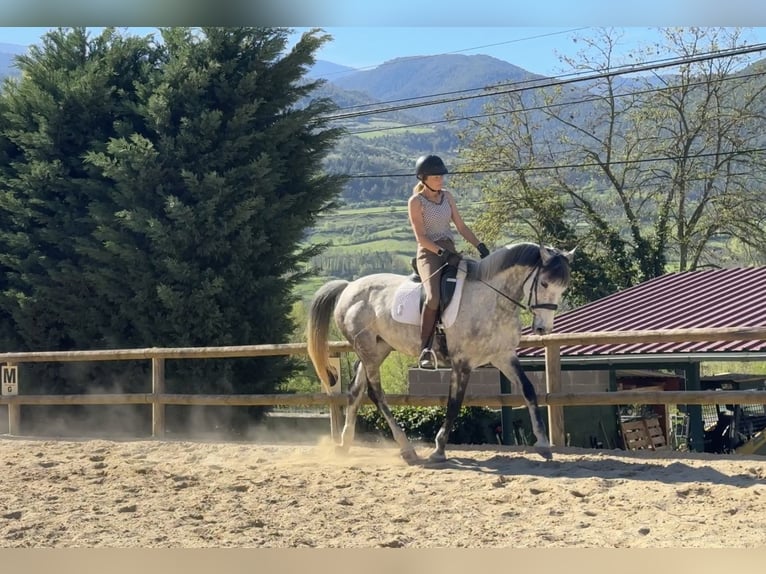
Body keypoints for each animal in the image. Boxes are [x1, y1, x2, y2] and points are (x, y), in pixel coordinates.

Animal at [306, 241, 576, 466]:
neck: (491, 301)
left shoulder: (504, 356)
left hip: (379, 348)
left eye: (563, 288)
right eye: (544, 283)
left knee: (356, 390)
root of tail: (348, 287)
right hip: (368, 349)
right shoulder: (462, 363)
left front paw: (543, 445)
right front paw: (439, 449)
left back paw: (345, 445)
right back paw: (407, 449)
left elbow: (529, 390)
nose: (543, 329)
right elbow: (454, 404)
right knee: (376, 393)